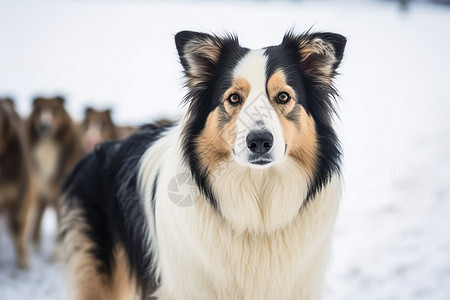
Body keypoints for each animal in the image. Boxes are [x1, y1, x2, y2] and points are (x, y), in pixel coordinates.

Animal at [26, 96, 85, 251]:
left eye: (55, 110)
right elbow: (36, 226)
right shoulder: (42, 193)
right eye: (39, 110)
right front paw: (36, 249)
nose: (44, 126)